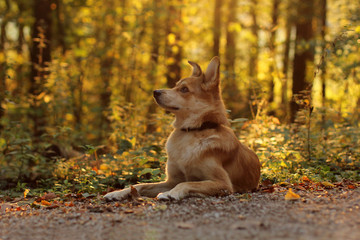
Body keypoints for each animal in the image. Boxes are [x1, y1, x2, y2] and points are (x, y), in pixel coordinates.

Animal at [104, 56, 258, 201]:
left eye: (184, 89)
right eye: (175, 86)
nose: (155, 91)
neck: (193, 131)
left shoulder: (223, 183)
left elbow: (186, 183)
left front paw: (171, 193)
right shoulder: (171, 181)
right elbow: (139, 185)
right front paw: (117, 192)